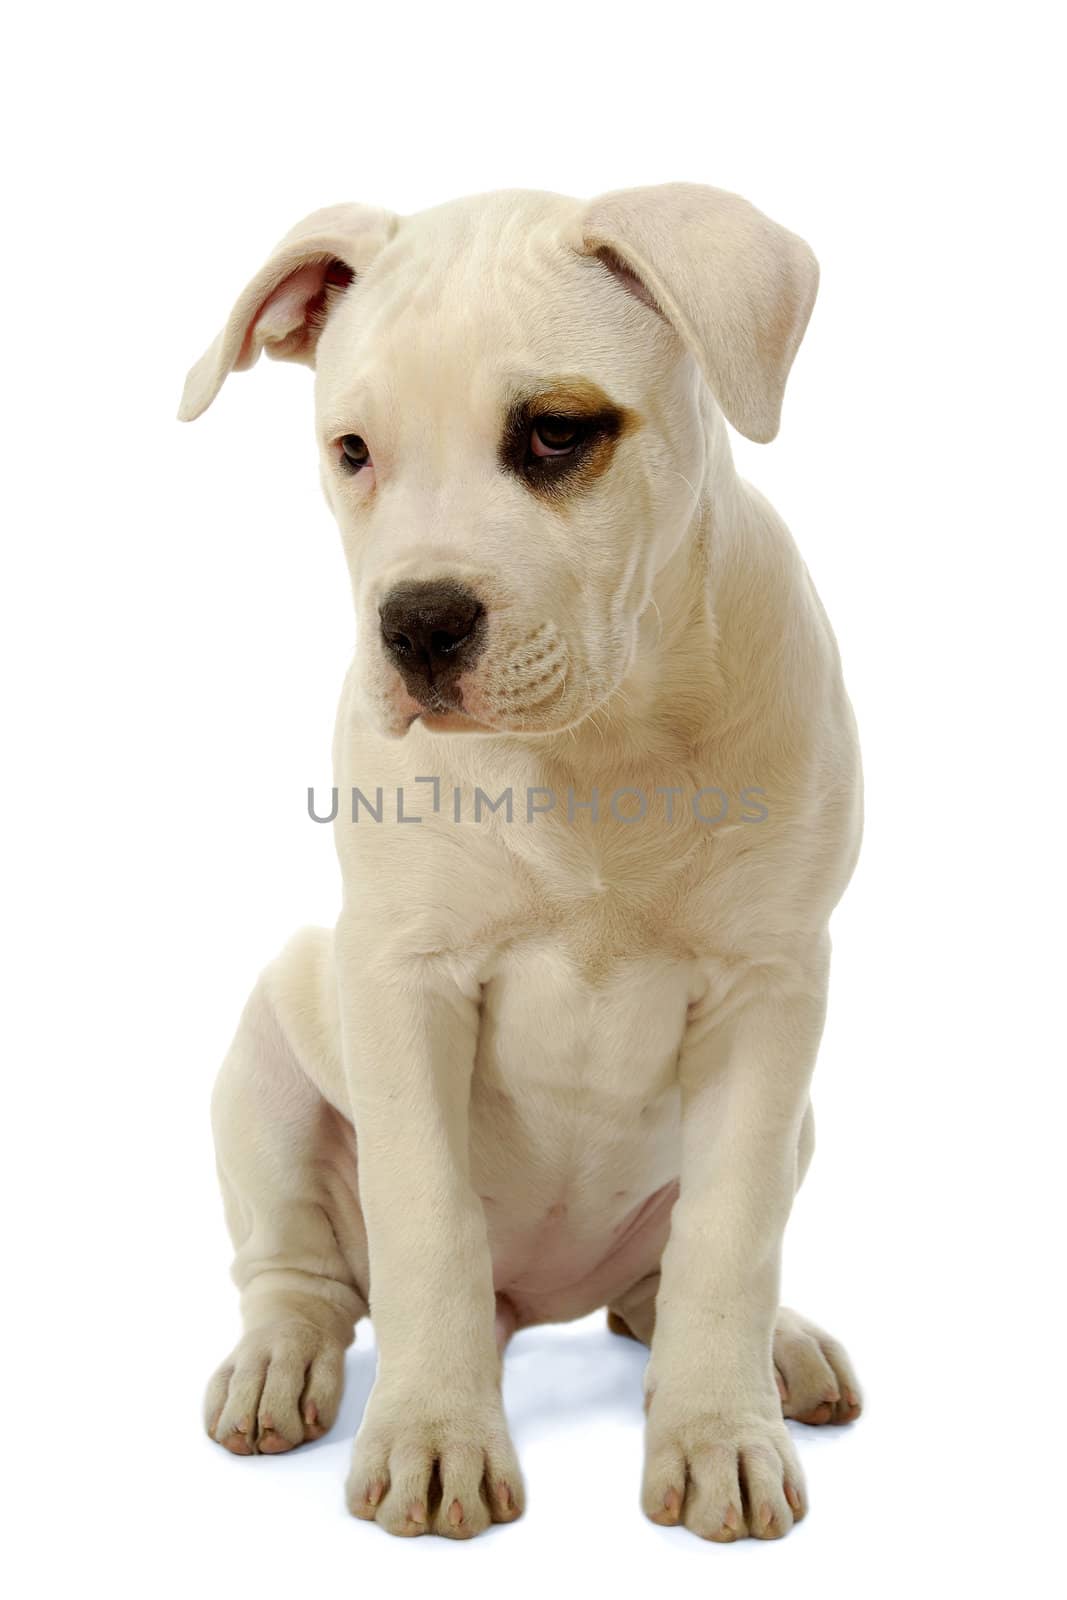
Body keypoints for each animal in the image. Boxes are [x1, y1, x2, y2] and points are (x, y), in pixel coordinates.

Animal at [183, 181, 863, 1542]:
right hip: (271, 1055)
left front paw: (718, 1436)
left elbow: (730, 1232)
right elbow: (428, 1222)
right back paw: (281, 1362)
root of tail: (542, 1300)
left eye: (554, 433)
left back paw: (774, 1350)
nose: (416, 624)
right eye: (352, 452)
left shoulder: (771, 995)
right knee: (298, 1270)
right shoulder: (403, 981)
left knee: (665, 1276)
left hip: (793, 1115)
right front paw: (433, 1438)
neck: (597, 744)